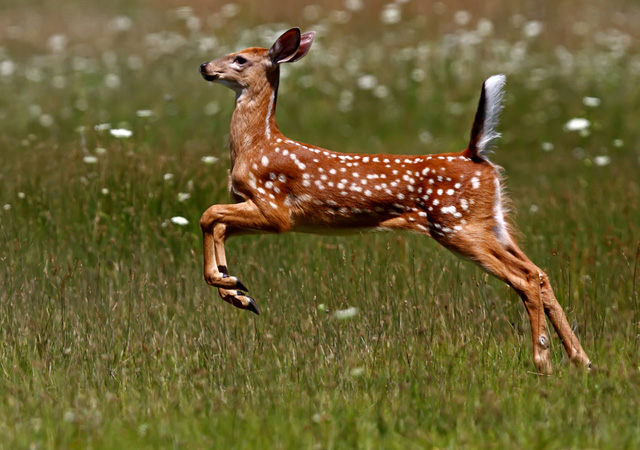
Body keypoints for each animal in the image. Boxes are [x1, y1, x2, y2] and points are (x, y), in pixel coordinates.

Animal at [199, 26, 592, 374]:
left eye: (240, 59)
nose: (204, 66)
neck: (256, 145)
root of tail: (475, 155)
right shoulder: (261, 211)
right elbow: (217, 225)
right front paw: (235, 289)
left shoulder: (275, 210)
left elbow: (208, 214)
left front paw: (231, 285)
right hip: (492, 224)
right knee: (538, 273)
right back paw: (581, 360)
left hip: (458, 226)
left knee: (524, 279)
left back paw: (542, 361)